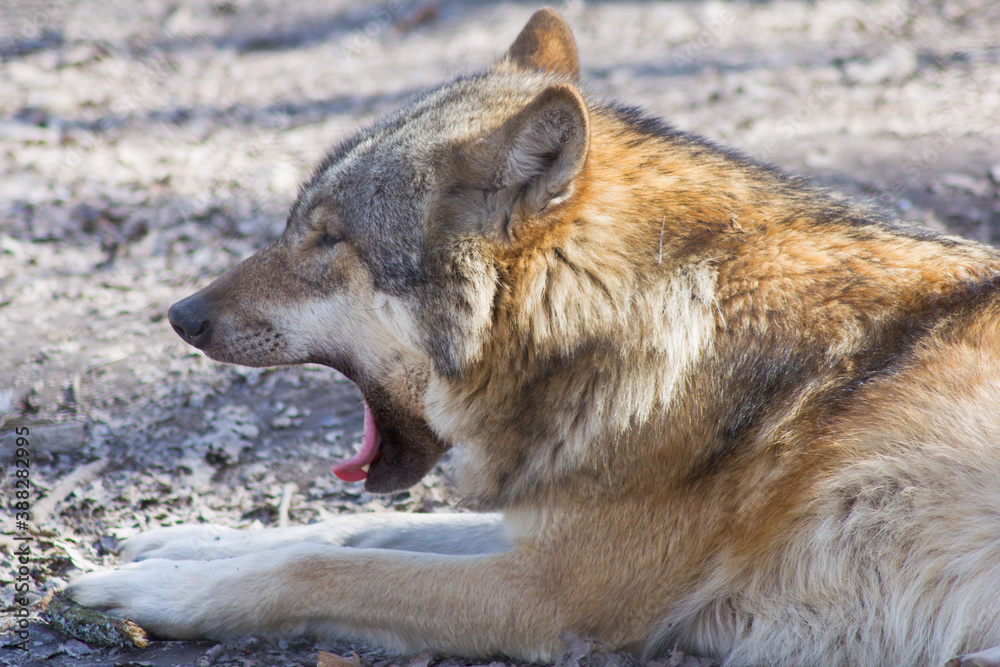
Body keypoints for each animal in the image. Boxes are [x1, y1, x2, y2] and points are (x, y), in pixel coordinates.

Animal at [69, 9, 1000, 666]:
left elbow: (315, 565)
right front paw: (184, 542)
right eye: (303, 227)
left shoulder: (552, 592)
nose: (181, 314)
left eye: (328, 239)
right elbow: (338, 529)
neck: (655, 321)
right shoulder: (547, 529)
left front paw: (151, 589)